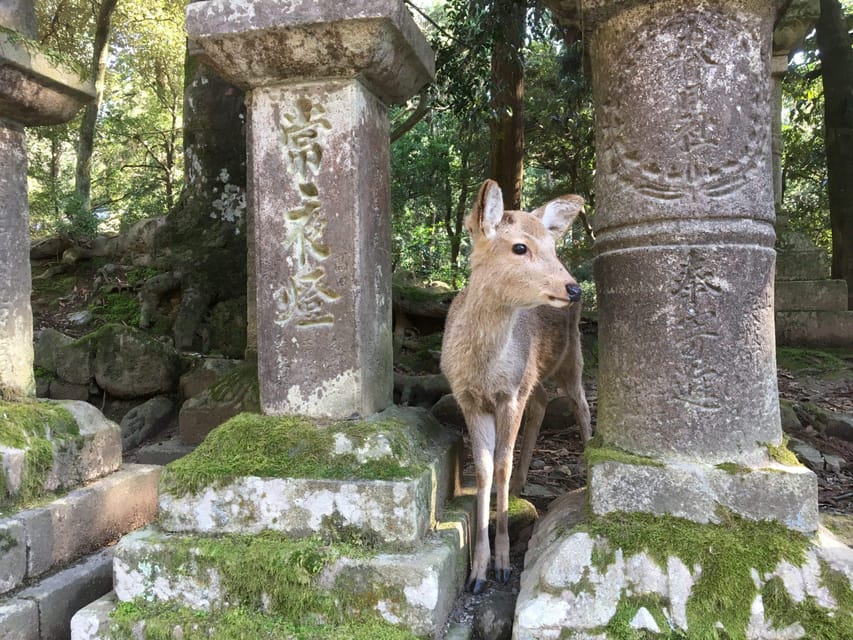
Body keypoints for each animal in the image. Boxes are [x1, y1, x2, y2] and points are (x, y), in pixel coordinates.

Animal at [440, 178, 592, 592]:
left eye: (552, 247)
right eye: (519, 247)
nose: (573, 288)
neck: (484, 370)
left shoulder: (509, 395)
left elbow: (501, 465)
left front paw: (504, 563)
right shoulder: (467, 398)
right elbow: (484, 468)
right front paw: (477, 570)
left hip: (571, 357)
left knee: (582, 404)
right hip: (533, 376)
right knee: (542, 400)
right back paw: (525, 482)